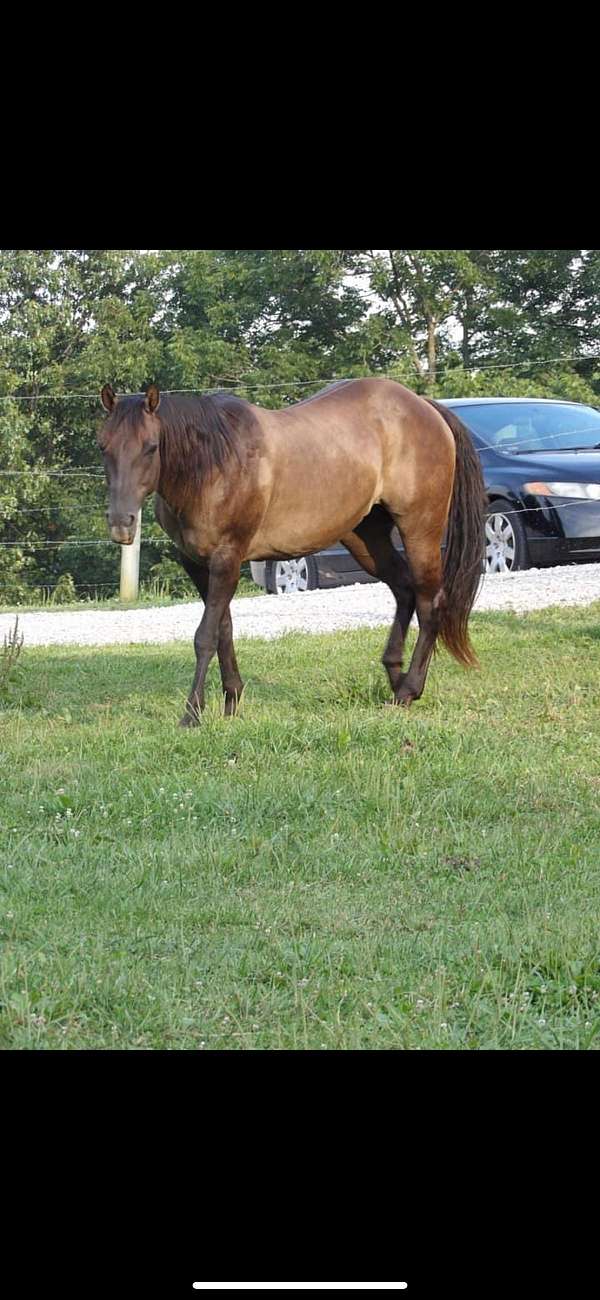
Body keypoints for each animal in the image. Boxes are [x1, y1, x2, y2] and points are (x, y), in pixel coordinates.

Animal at [97, 379, 483, 722]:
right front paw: (232, 700)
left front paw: (192, 713)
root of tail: (425, 406)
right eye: (104, 447)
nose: (121, 523)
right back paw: (395, 678)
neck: (215, 465)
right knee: (404, 589)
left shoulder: (227, 558)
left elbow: (205, 636)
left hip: (420, 530)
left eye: (151, 446)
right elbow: (224, 630)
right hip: (366, 537)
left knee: (429, 602)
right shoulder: (197, 563)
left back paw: (409, 689)